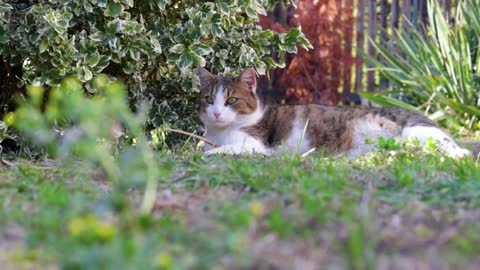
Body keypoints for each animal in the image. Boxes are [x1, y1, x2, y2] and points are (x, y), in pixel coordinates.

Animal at [198, 66, 472, 158]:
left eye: (232, 100)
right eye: (209, 99)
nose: (217, 113)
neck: (220, 132)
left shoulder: (256, 145)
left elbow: (224, 149)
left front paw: (210, 154)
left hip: (416, 133)